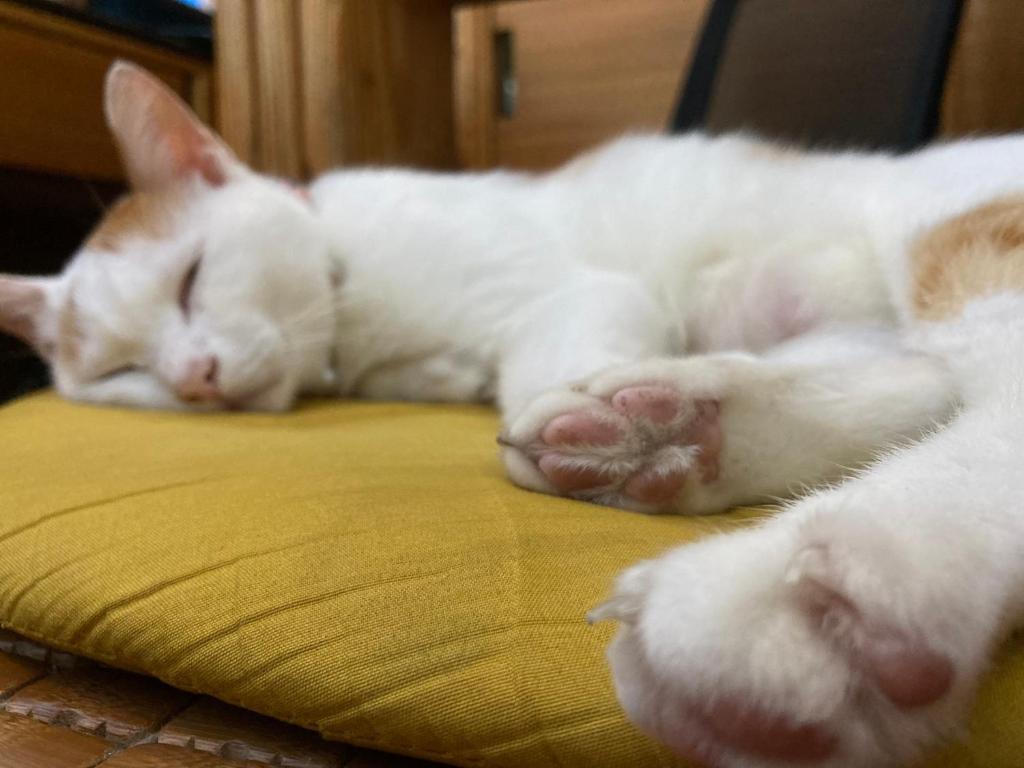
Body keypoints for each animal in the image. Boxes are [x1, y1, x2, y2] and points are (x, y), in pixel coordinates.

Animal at [2, 61, 1024, 768]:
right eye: (124, 372)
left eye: (192, 279)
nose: (198, 379)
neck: (346, 307)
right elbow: (905, 384)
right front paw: (654, 429)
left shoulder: (571, 288)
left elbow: (545, 364)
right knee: (921, 381)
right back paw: (682, 430)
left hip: (938, 222)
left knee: (987, 393)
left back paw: (830, 581)